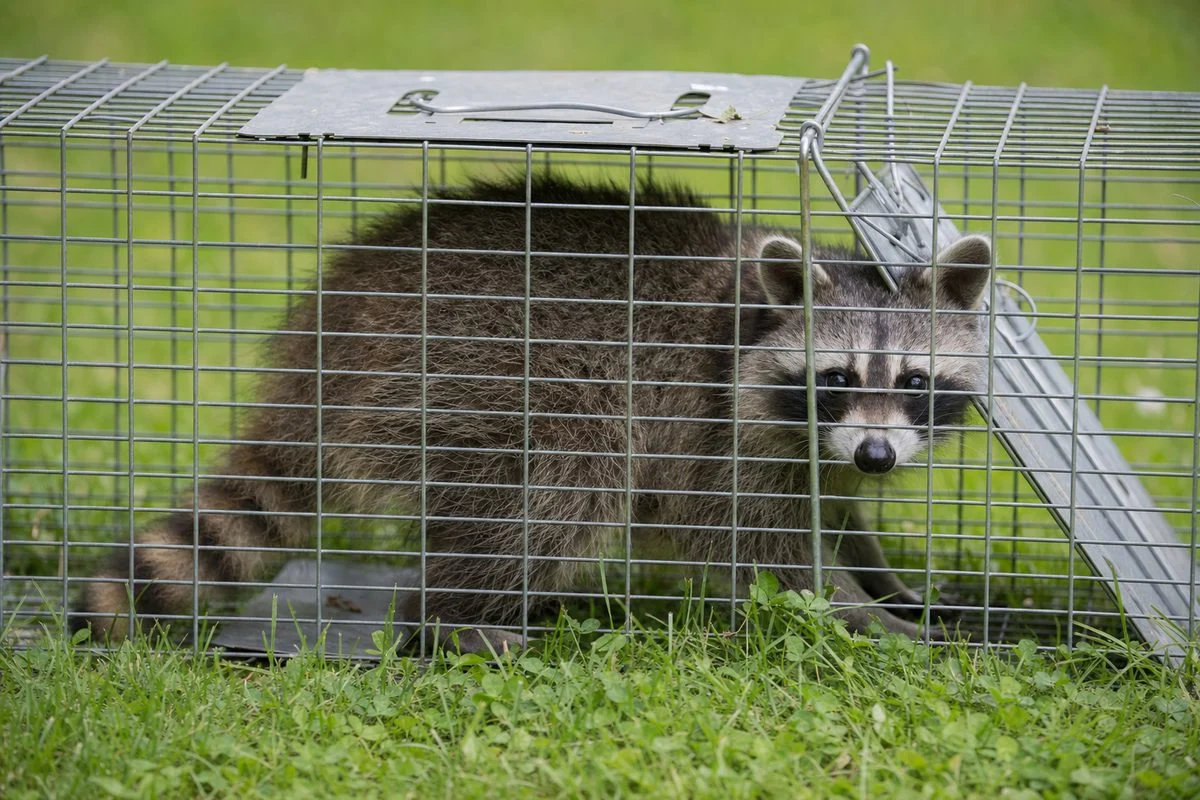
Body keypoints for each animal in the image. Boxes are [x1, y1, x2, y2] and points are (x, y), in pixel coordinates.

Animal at [75, 174, 990, 652]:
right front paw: (868, 620)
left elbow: (835, 515)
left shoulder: (816, 449)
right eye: (836, 375)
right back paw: (453, 621)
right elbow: (757, 546)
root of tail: (322, 345)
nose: (876, 458)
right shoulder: (716, 427)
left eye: (915, 382)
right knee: (561, 484)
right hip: (472, 376)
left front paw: (890, 585)